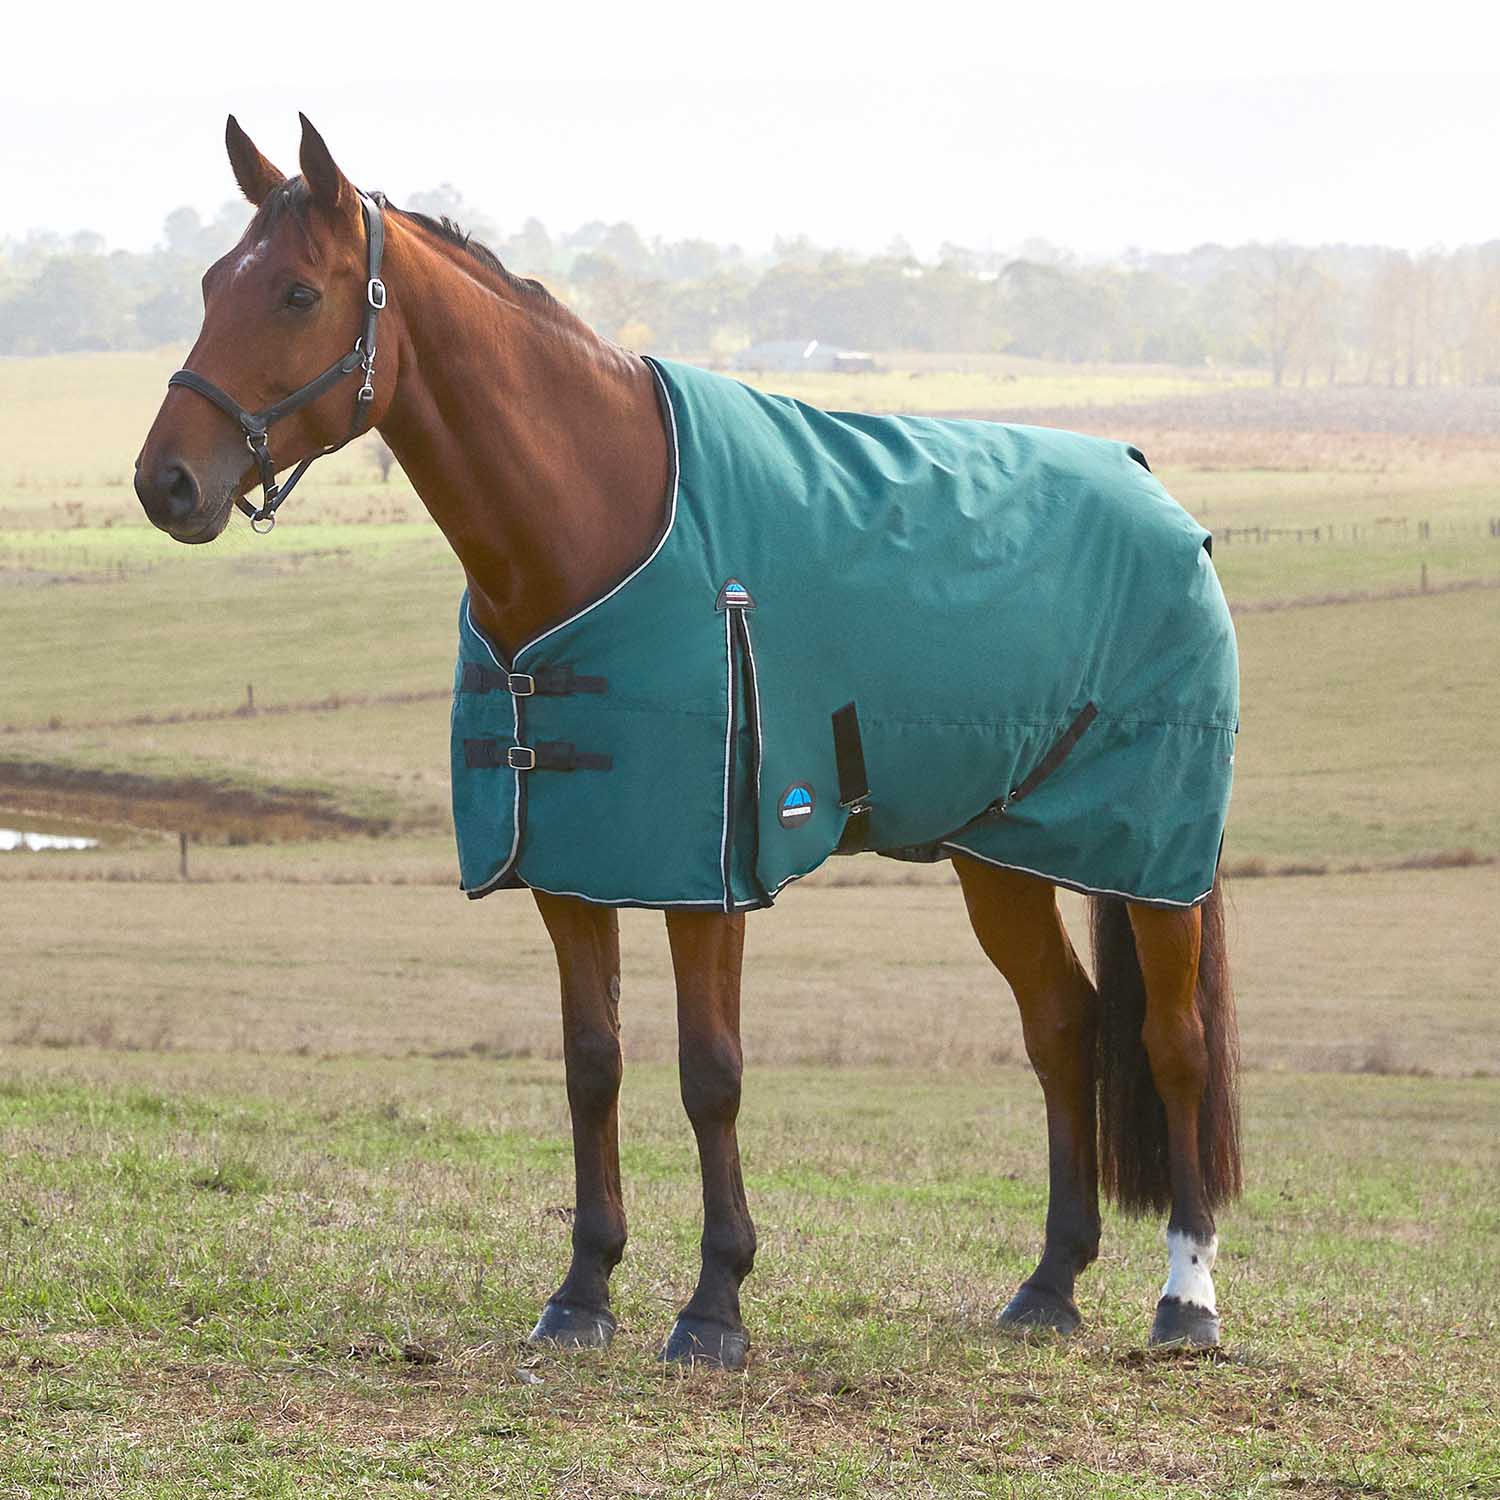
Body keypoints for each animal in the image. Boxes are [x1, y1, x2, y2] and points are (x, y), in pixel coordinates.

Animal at [133, 115, 1241, 1369]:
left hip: (1152, 861)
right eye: (211, 282)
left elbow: (710, 1075)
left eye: (297, 292)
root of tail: (1155, 492)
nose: (166, 483)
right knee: (1063, 1026)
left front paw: (714, 1306)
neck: (598, 521)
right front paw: (582, 1291)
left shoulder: (710, 872)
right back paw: (1048, 1285)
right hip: (996, 853)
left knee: (1173, 1043)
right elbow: (592, 1065)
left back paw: (1185, 1300)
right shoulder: (570, 863)